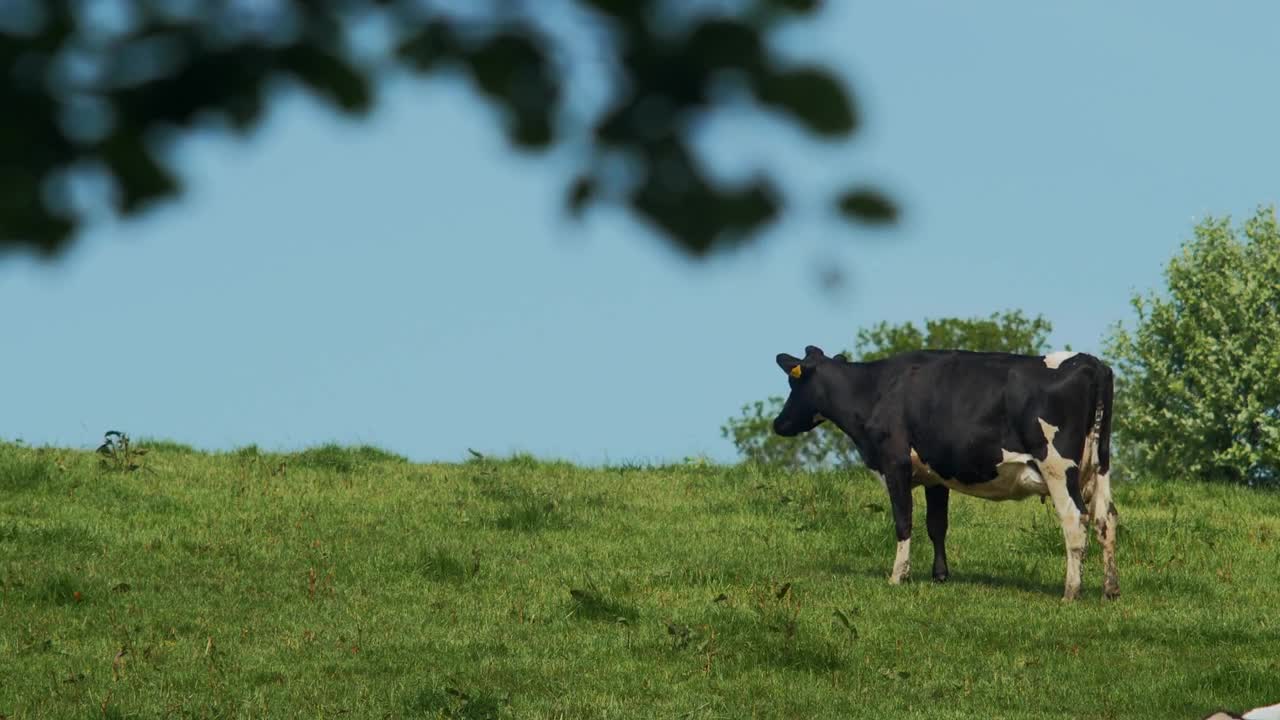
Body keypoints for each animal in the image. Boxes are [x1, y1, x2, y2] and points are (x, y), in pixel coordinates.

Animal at [762, 345, 1116, 597]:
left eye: (793, 382)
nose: (778, 423)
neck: (875, 389)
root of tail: (1090, 362)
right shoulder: (936, 475)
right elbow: (937, 525)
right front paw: (940, 576)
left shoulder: (895, 463)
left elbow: (904, 522)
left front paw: (898, 576)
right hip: (1100, 466)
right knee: (1106, 518)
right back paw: (1110, 590)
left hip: (1057, 466)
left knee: (1075, 520)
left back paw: (1071, 592)